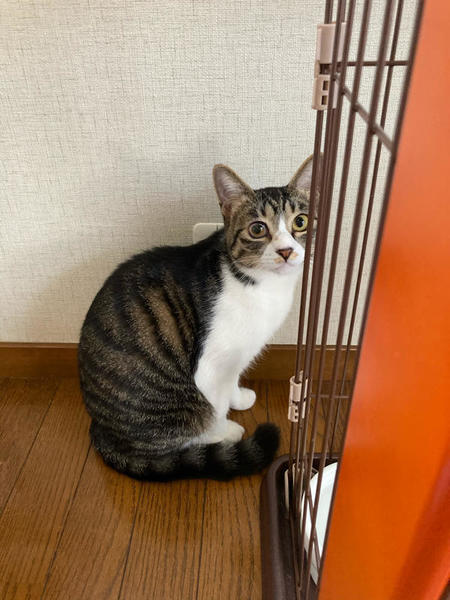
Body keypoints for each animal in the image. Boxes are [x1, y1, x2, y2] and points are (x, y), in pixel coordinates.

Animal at [78, 155, 315, 481]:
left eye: (300, 222)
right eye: (257, 229)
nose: (286, 251)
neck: (262, 285)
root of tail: (100, 430)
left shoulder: (238, 356)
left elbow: (232, 380)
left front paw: (239, 398)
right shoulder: (210, 365)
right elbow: (215, 403)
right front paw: (224, 428)